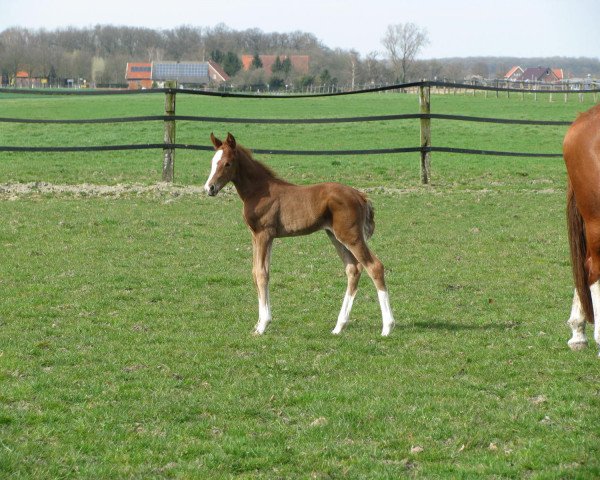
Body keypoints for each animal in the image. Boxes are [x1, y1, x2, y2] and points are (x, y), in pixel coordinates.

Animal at [204, 130, 396, 334]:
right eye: (213, 162)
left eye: (227, 163)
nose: (209, 188)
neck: (259, 190)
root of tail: (360, 195)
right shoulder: (256, 236)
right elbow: (256, 273)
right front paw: (258, 323)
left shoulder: (264, 234)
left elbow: (262, 274)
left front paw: (263, 325)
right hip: (335, 236)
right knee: (353, 269)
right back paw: (339, 327)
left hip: (351, 236)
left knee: (375, 267)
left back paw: (387, 327)